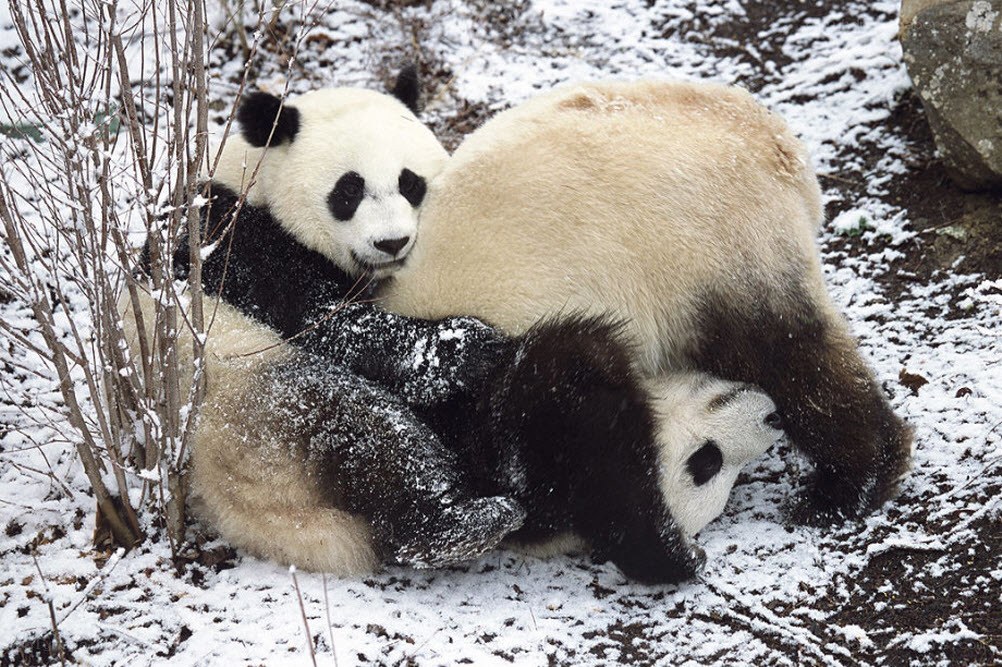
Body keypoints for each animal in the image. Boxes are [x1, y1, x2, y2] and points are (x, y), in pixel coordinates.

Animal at [136, 70, 788, 583]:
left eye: (411, 182)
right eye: (348, 190)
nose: (393, 242)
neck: (250, 169)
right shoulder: (221, 237)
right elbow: (326, 317)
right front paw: (468, 348)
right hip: (261, 410)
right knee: (365, 431)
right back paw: (458, 524)